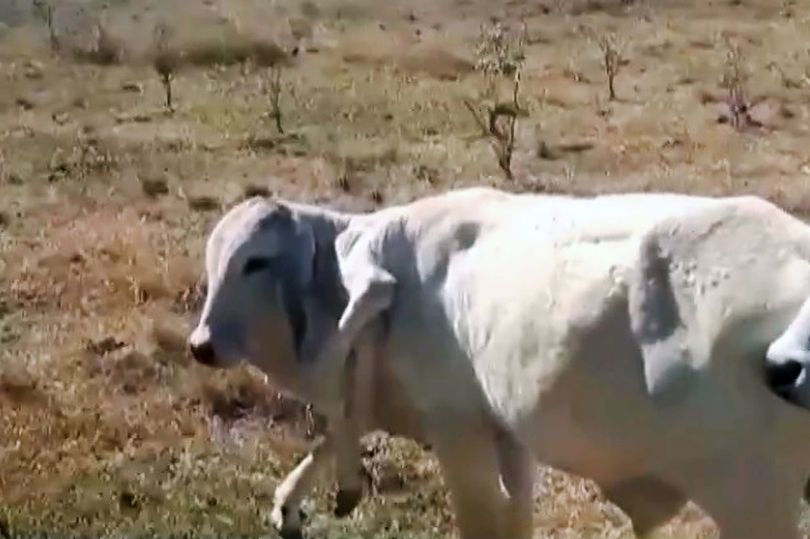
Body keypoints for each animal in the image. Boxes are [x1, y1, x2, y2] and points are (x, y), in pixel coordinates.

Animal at [188, 186, 810, 539]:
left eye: (255, 262)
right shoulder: (504, 429)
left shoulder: (456, 426)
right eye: (213, 259)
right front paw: (287, 507)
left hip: (752, 498)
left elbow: (481, 520)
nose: (201, 345)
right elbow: (515, 517)